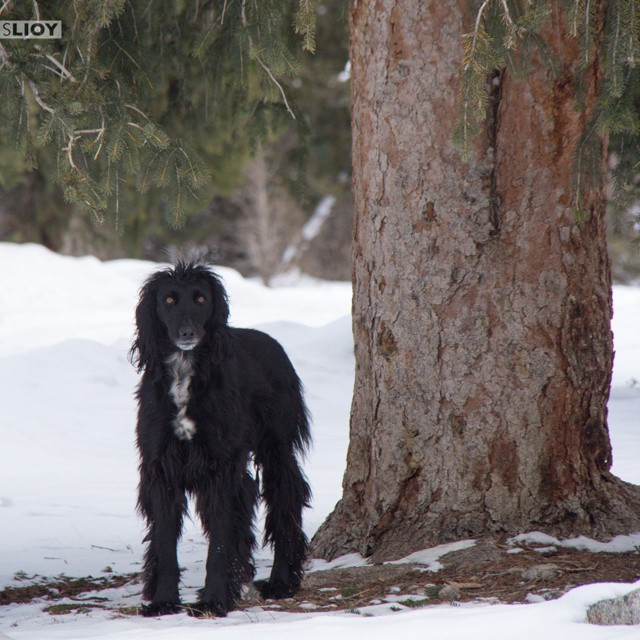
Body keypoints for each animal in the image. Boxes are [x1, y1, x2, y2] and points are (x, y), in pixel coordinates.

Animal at [130, 262, 310, 616]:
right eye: (169, 300)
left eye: (201, 298)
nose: (188, 334)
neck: (185, 373)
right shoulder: (161, 466)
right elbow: (165, 539)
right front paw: (163, 601)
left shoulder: (221, 466)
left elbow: (220, 541)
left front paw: (214, 600)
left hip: (276, 446)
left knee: (285, 503)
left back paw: (280, 580)